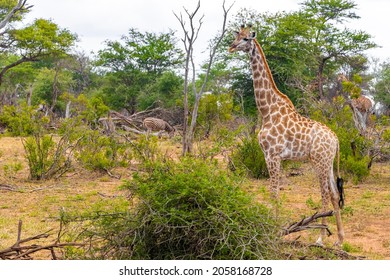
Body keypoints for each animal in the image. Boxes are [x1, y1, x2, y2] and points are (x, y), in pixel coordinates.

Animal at [229, 25, 344, 245]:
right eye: (236, 36)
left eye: (246, 39)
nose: (231, 47)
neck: (267, 110)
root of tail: (336, 139)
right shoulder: (271, 155)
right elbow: (274, 191)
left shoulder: (272, 155)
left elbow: (274, 191)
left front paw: (274, 230)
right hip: (328, 162)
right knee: (335, 194)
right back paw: (340, 239)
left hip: (319, 161)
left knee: (325, 193)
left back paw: (320, 238)